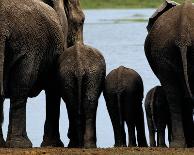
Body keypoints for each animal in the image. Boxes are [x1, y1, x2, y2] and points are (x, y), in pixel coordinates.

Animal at [57, 0, 106, 148]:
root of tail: (79, 66)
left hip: (74, 75)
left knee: (76, 104)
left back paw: (79, 144)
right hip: (87, 74)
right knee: (86, 104)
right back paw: (85, 144)